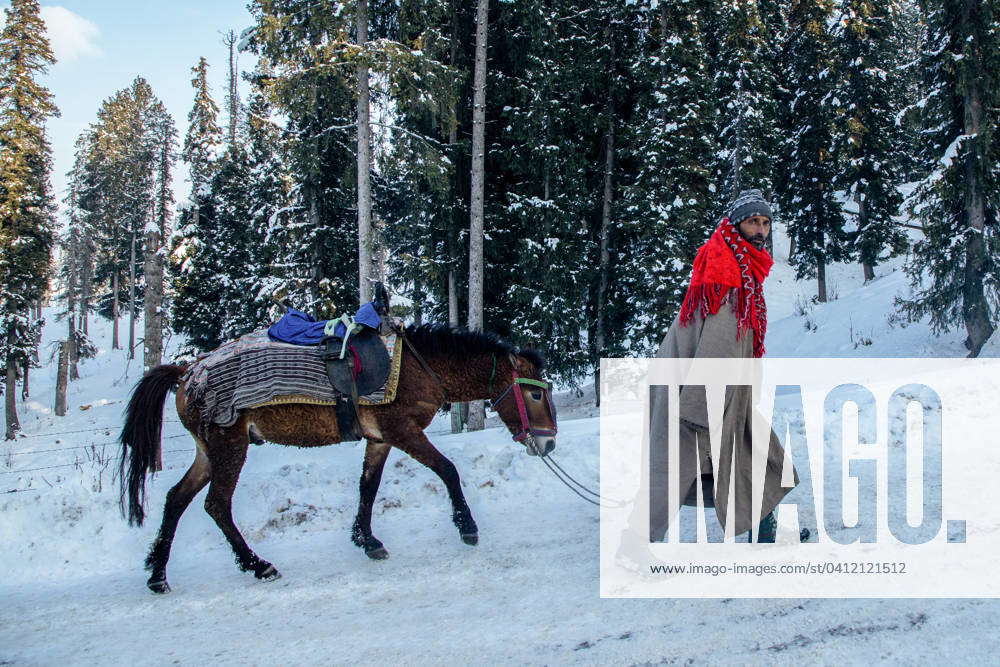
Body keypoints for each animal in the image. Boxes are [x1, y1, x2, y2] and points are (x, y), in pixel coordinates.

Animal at [117, 326, 560, 592]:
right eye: (536, 393)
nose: (550, 443)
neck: (419, 368)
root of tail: (187, 373)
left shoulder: (380, 438)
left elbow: (368, 487)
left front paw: (367, 540)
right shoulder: (403, 431)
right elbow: (447, 470)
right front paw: (467, 527)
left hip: (208, 452)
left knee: (176, 498)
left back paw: (157, 574)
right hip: (229, 447)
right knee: (216, 505)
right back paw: (257, 564)